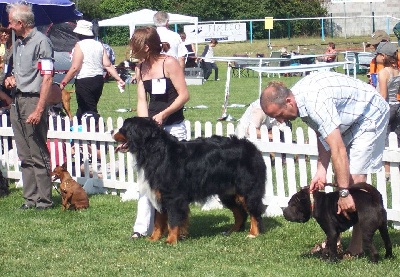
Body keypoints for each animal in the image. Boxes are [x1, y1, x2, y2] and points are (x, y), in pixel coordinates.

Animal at [113, 116, 266, 244]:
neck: (156, 150)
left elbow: (173, 221)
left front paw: (171, 240)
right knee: (240, 213)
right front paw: (153, 238)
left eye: (123, 128)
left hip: (247, 190)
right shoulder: (160, 194)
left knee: (255, 212)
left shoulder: (173, 197)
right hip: (228, 193)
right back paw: (231, 231)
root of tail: (253, 148)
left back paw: (253, 233)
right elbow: (158, 220)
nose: (111, 131)